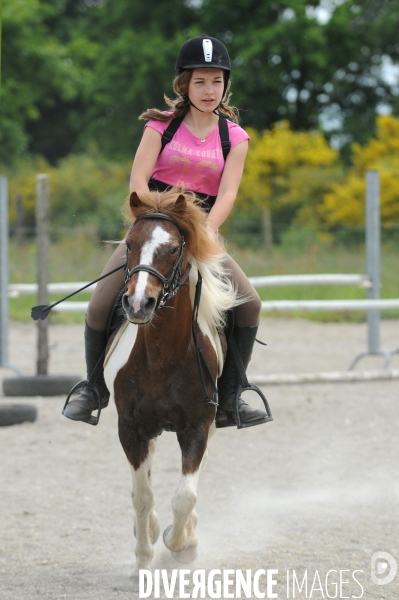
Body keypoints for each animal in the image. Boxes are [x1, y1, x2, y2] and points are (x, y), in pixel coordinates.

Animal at [104, 190, 239, 576]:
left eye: (174, 248)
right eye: (129, 244)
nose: (138, 304)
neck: (162, 354)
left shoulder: (197, 427)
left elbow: (185, 496)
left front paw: (180, 543)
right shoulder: (130, 428)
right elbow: (141, 496)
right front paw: (142, 560)